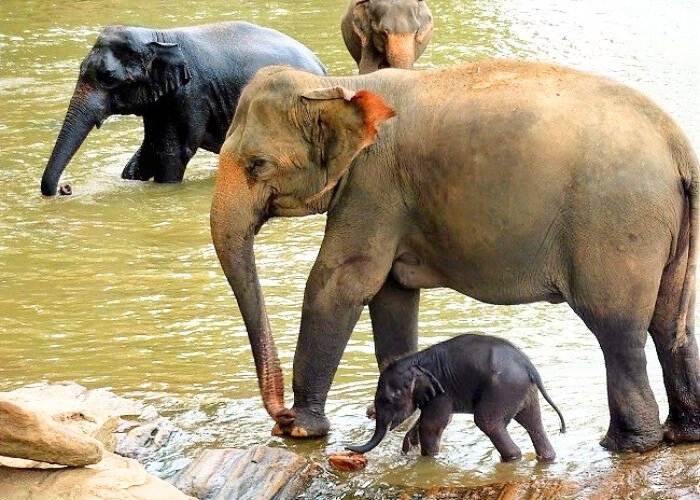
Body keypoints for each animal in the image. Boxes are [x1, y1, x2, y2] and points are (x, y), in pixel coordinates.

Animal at [41, 22, 328, 197]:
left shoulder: (190, 94)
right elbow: (149, 149)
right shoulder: (162, 101)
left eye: (109, 78)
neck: (159, 37)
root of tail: (322, 66)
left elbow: (173, 152)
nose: (65, 188)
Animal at [348, 334, 568, 462]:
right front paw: (408, 449)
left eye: (388, 400)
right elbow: (427, 422)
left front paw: (428, 460)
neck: (416, 360)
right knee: (532, 422)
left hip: (504, 389)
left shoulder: (442, 392)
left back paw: (513, 457)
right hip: (523, 391)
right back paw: (546, 458)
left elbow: (431, 425)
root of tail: (530, 367)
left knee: (487, 421)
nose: (348, 448)